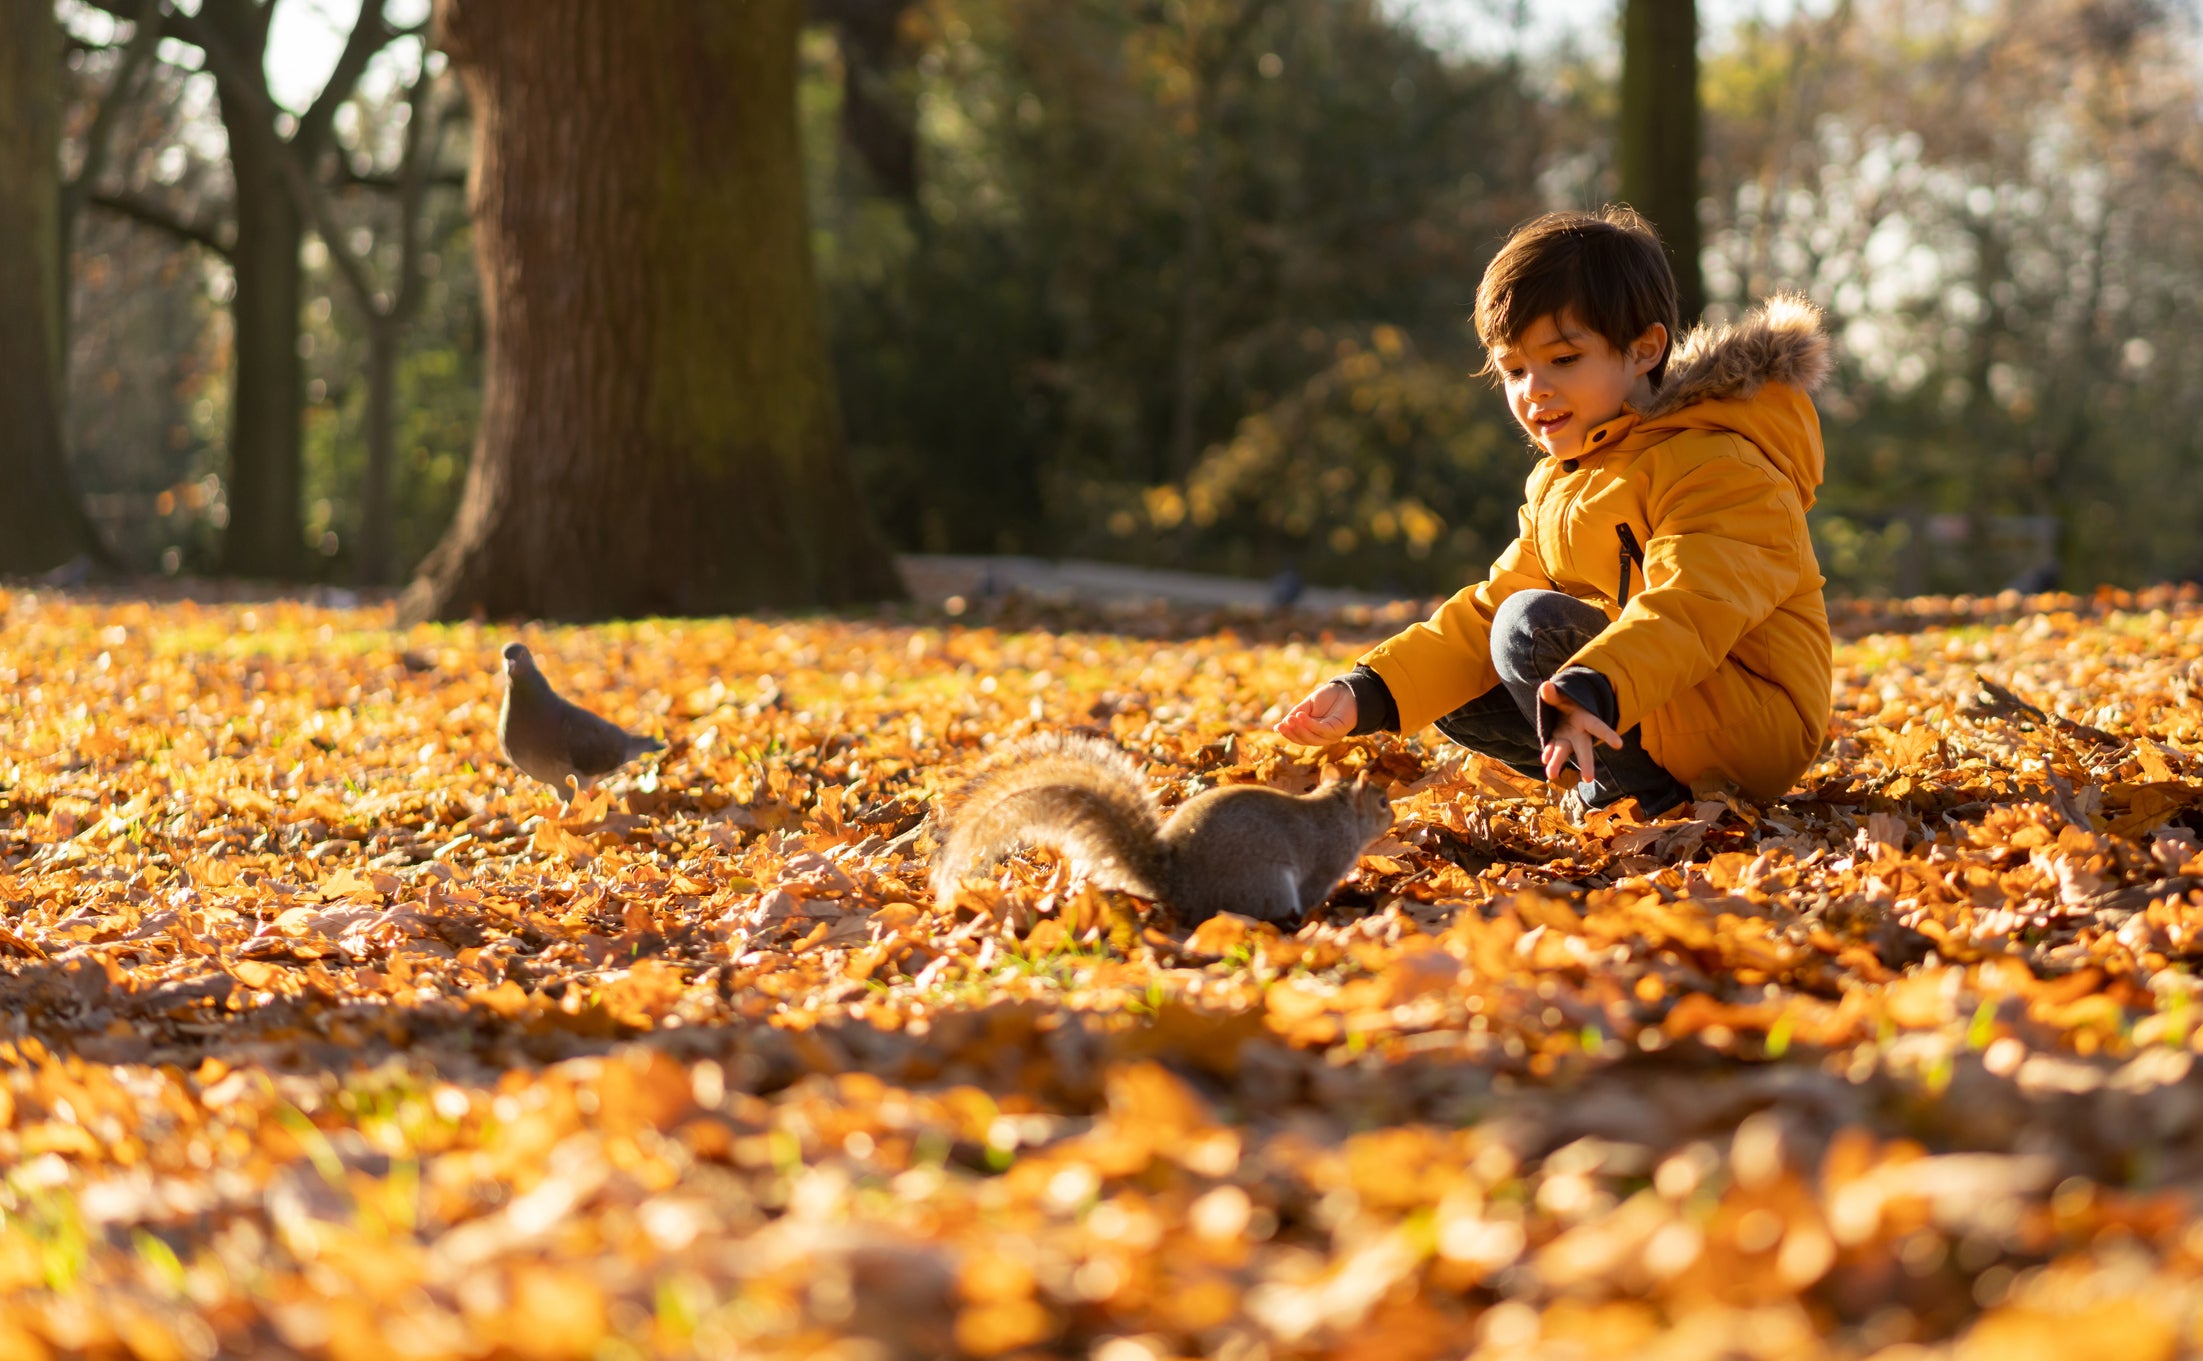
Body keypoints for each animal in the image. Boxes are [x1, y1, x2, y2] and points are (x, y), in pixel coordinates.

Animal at [929, 731, 1392, 920]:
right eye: (1383, 801)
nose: (1393, 815)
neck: (1336, 813)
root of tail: (1177, 887)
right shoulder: (1324, 860)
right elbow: (1316, 889)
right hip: (1267, 883)